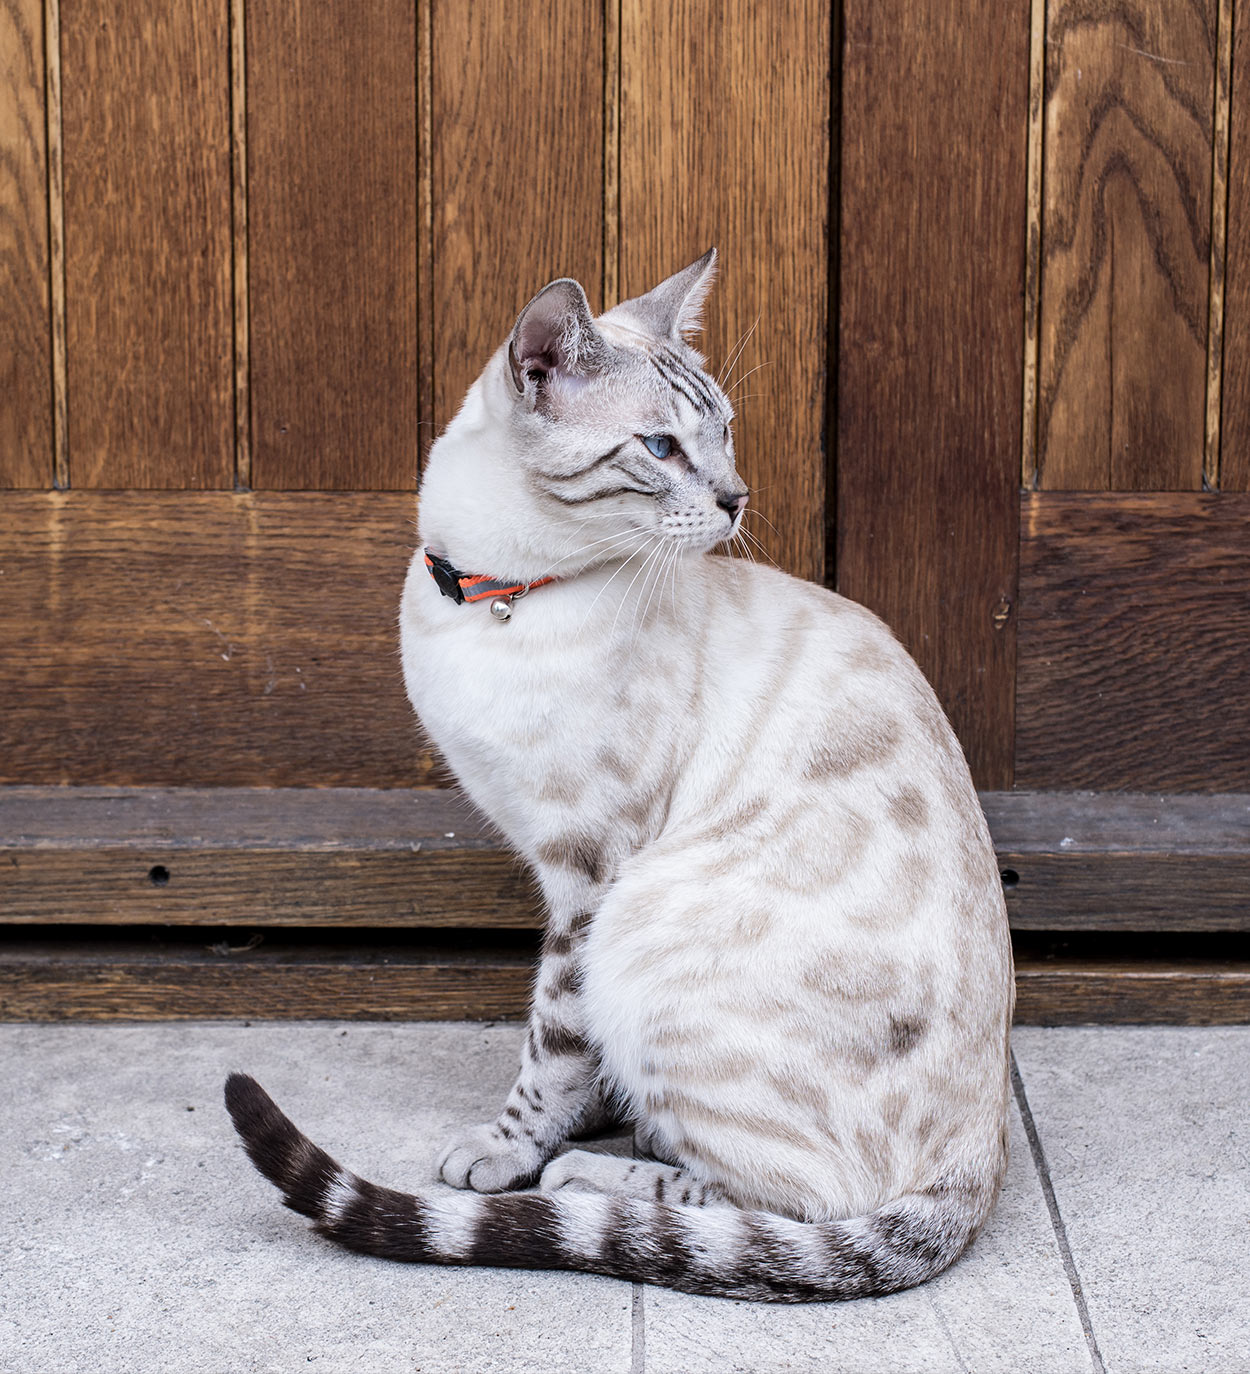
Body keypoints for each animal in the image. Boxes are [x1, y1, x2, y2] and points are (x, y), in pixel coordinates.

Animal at [228, 250, 1016, 1297]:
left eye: (722, 435)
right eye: (660, 446)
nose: (737, 497)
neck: (494, 596)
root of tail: (983, 1154)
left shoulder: (589, 867)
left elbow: (554, 1040)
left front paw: (512, 1150)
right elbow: (581, 1053)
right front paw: (590, 1114)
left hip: (642, 933)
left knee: (790, 1206)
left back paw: (592, 1177)